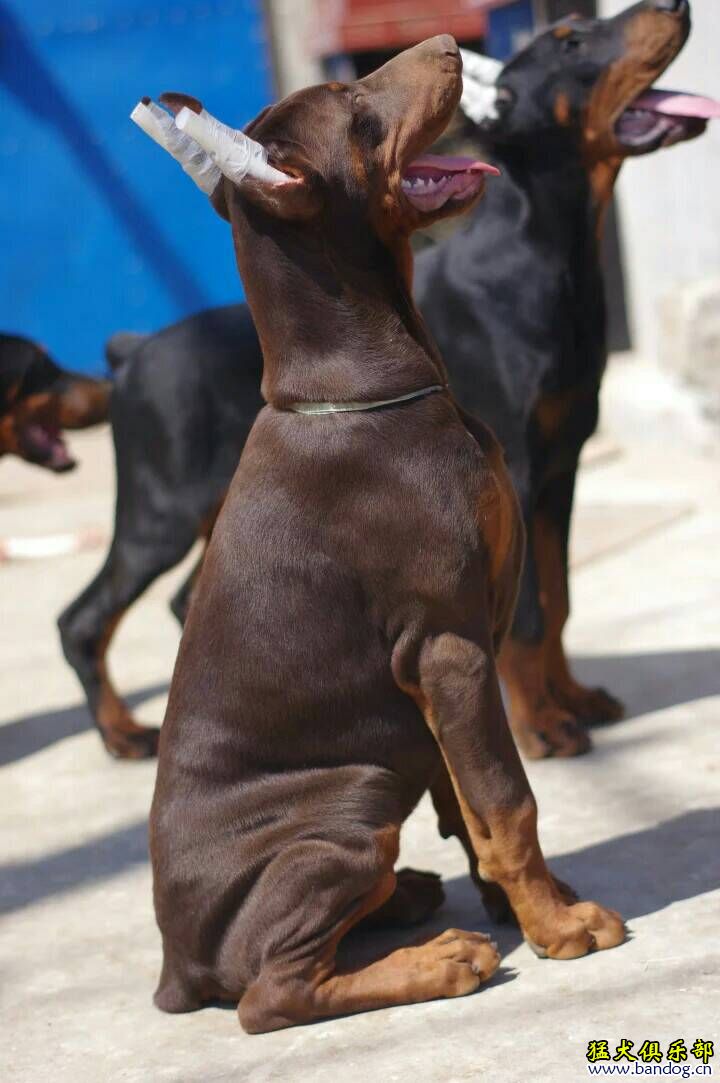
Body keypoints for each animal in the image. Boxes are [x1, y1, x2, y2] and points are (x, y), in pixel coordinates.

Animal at [57, 0, 705, 762]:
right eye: (572, 43)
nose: (677, 6)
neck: (549, 257)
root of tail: (131, 352)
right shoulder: (518, 469)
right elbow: (530, 616)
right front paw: (542, 723)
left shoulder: (560, 468)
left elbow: (560, 597)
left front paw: (572, 697)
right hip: (160, 511)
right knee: (83, 619)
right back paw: (124, 732)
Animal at [141, 33, 623, 1031]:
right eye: (359, 114)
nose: (446, 42)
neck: (367, 388)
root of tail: (175, 965)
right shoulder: (449, 648)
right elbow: (507, 800)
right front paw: (559, 927)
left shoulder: (447, 669)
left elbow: (470, 804)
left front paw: (527, 902)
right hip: (351, 798)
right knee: (270, 994)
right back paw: (439, 959)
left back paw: (407, 898)